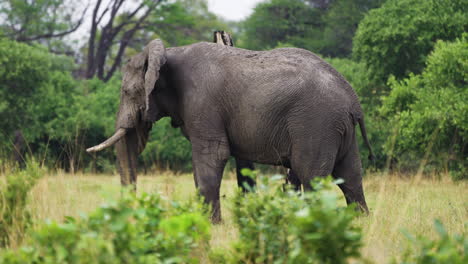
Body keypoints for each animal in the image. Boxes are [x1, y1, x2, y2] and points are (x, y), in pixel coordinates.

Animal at [86, 38, 374, 222]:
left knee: (312, 176)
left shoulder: (203, 103)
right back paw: (361, 222)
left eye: (126, 92)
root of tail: (353, 100)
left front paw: (210, 225)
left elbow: (213, 156)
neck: (168, 52)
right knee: (351, 177)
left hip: (316, 123)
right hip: (337, 127)